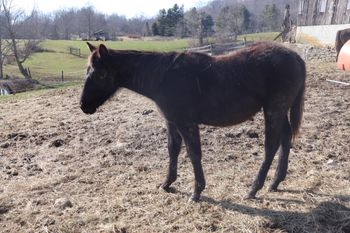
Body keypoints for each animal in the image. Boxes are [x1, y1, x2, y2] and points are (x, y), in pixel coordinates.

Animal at [80, 42, 304, 202]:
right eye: (86, 71)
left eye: (101, 74)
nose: (83, 106)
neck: (164, 78)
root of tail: (297, 57)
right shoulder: (172, 122)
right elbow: (173, 150)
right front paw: (167, 183)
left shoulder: (185, 122)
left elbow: (193, 153)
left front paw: (196, 192)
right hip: (280, 111)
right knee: (286, 138)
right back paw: (275, 182)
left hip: (274, 110)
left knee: (271, 145)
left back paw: (253, 189)